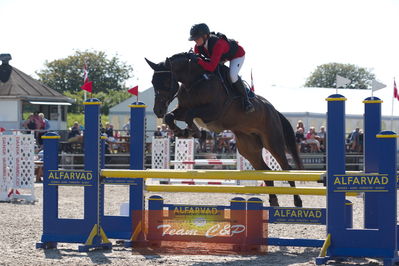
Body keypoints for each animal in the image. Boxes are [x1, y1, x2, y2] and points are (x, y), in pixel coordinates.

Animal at [145, 52, 304, 208]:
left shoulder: (213, 111)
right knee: (266, 171)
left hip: (273, 142)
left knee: (286, 168)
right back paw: (273, 201)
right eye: (153, 82)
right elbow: (170, 117)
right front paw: (181, 132)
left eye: (166, 82)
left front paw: (193, 131)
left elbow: (191, 114)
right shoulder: (182, 109)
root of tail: (273, 110)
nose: (157, 110)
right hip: (249, 149)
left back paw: (297, 201)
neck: (194, 81)